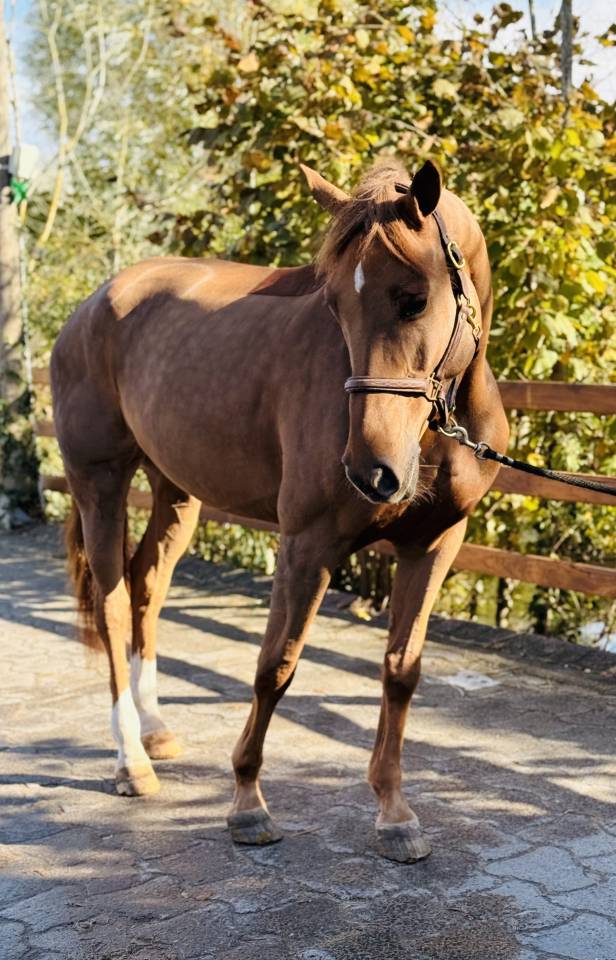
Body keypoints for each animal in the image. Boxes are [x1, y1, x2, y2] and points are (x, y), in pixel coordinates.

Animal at [51, 157, 508, 862]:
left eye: (414, 299)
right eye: (334, 304)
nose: (371, 472)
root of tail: (95, 304)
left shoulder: (435, 544)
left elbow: (401, 671)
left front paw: (395, 813)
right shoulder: (306, 545)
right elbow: (276, 668)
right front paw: (247, 804)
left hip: (175, 491)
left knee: (146, 585)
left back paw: (155, 731)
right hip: (98, 483)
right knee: (113, 603)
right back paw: (132, 761)